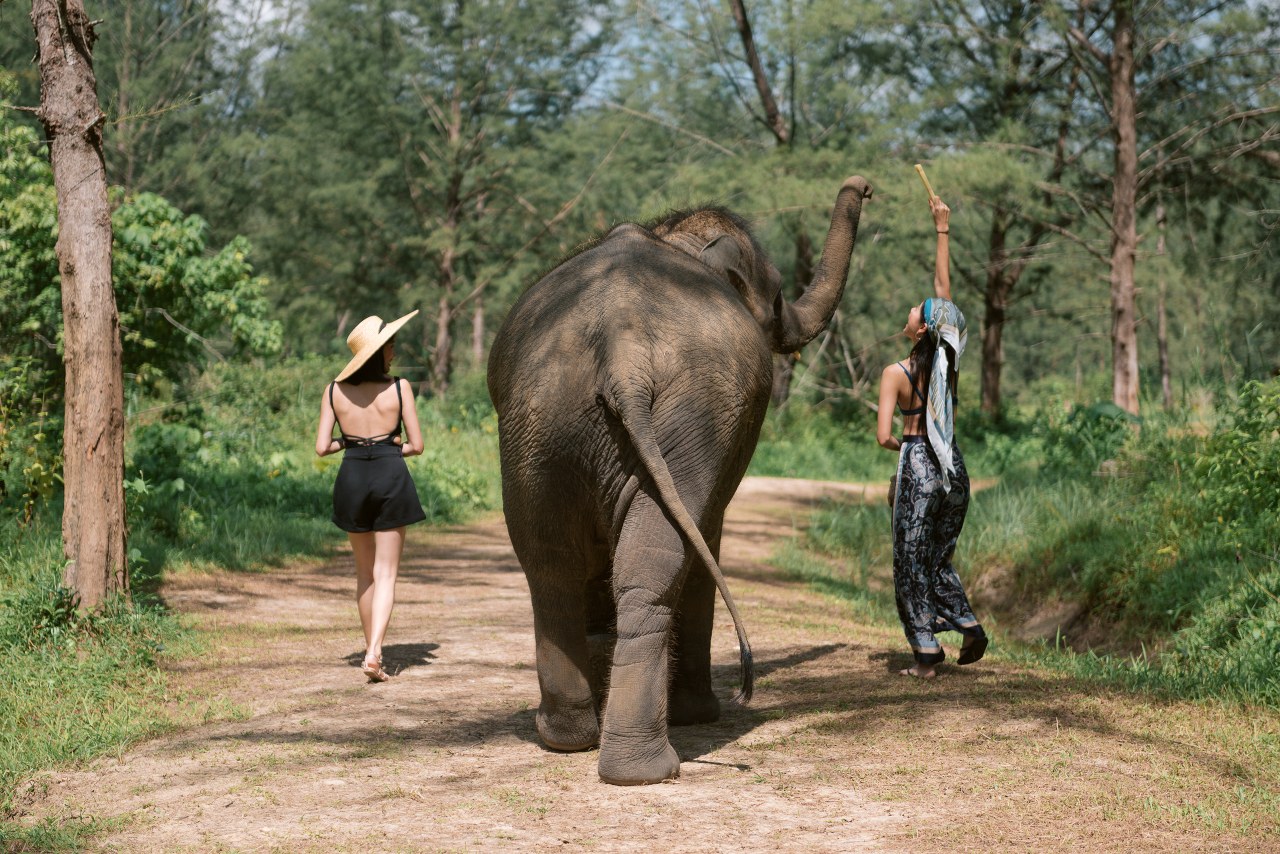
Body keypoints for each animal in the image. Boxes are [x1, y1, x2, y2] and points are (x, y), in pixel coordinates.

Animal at [483, 175, 875, 788]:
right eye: (777, 295)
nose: (864, 185)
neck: (675, 234)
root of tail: (621, 351)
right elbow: (705, 538)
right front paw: (700, 715)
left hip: (542, 421)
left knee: (549, 563)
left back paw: (567, 738)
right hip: (681, 417)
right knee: (655, 563)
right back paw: (647, 767)